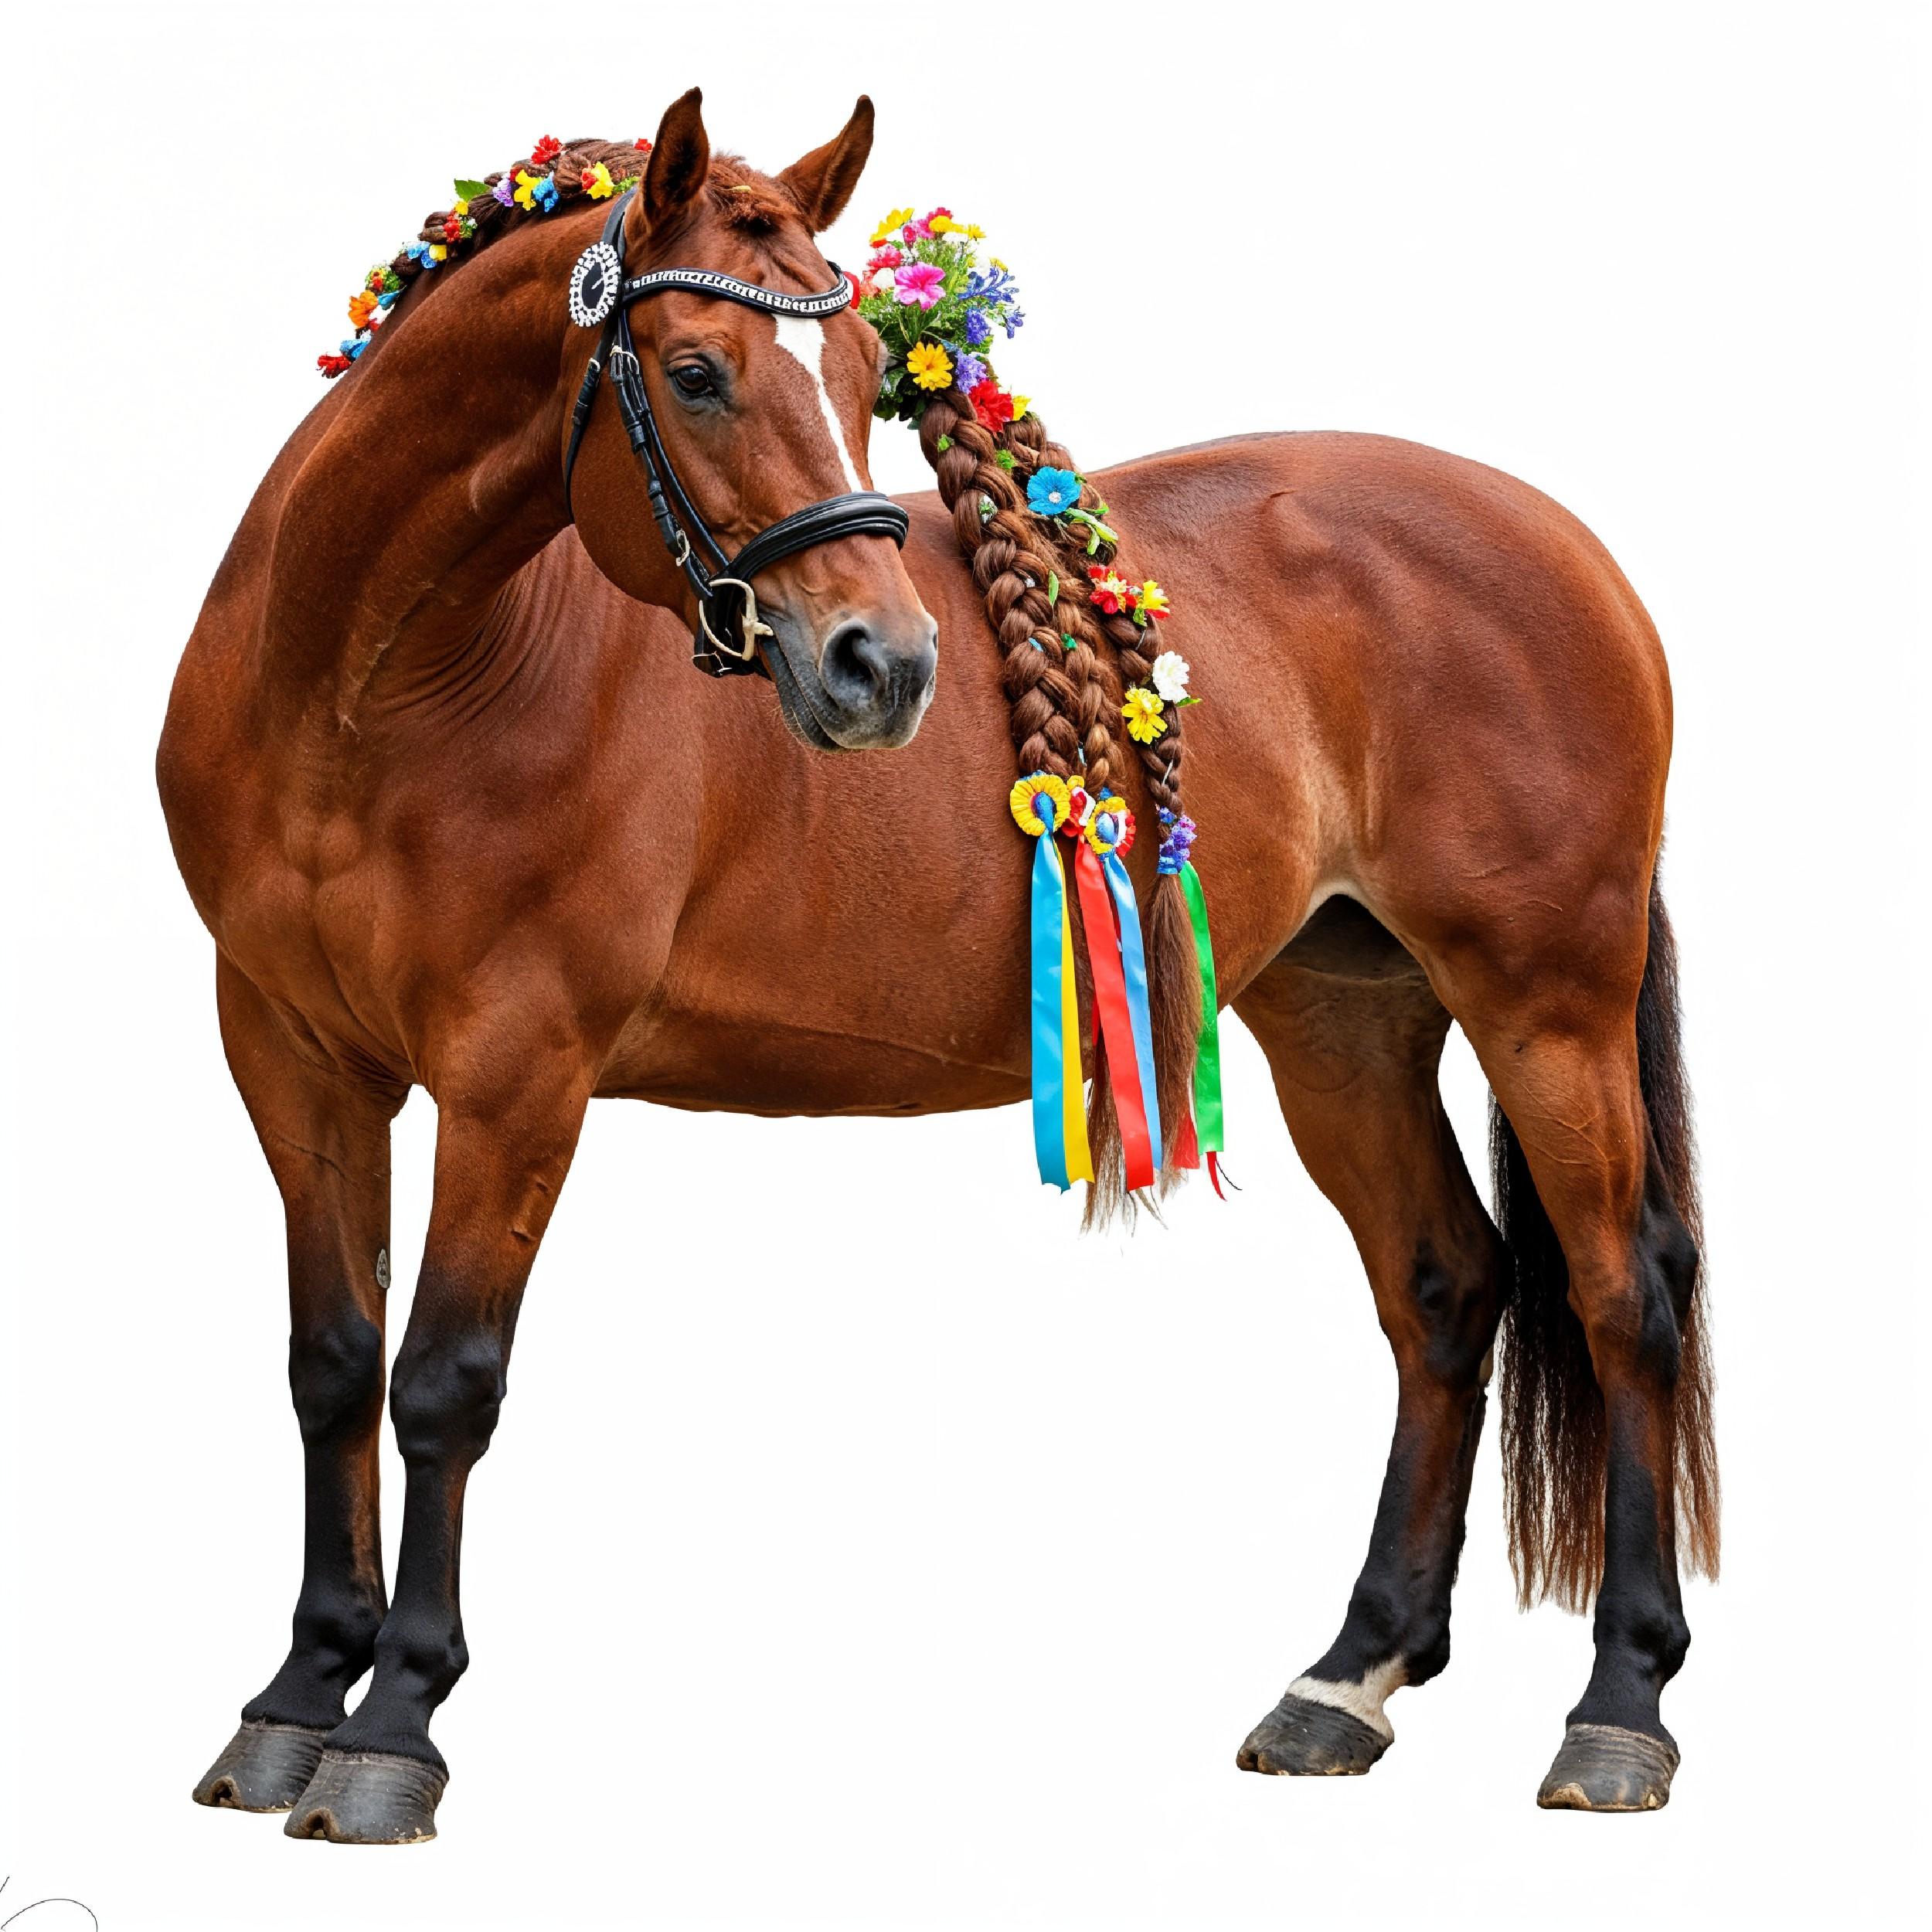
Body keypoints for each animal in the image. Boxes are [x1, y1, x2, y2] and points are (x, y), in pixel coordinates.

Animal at [158, 89, 1717, 1844]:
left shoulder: (516, 1071)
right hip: (1341, 1013)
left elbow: (444, 1381)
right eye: (695, 371)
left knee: (1620, 1291)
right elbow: (332, 1366)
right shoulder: (290, 1055)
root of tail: (1567, 548)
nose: (881, 665)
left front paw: (393, 1730)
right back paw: (1345, 1680)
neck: (374, 694)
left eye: (858, 382)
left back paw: (1619, 1710)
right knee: (1446, 1285)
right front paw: (294, 1701)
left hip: (1546, 999)